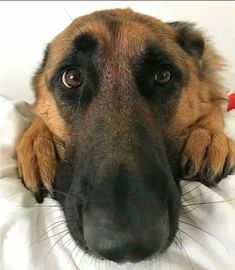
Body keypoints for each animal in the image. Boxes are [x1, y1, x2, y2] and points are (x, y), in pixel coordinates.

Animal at [17, 8, 235, 264]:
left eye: (163, 75)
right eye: (72, 78)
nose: (127, 244)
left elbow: (213, 104)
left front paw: (209, 135)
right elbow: (37, 112)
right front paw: (37, 144)